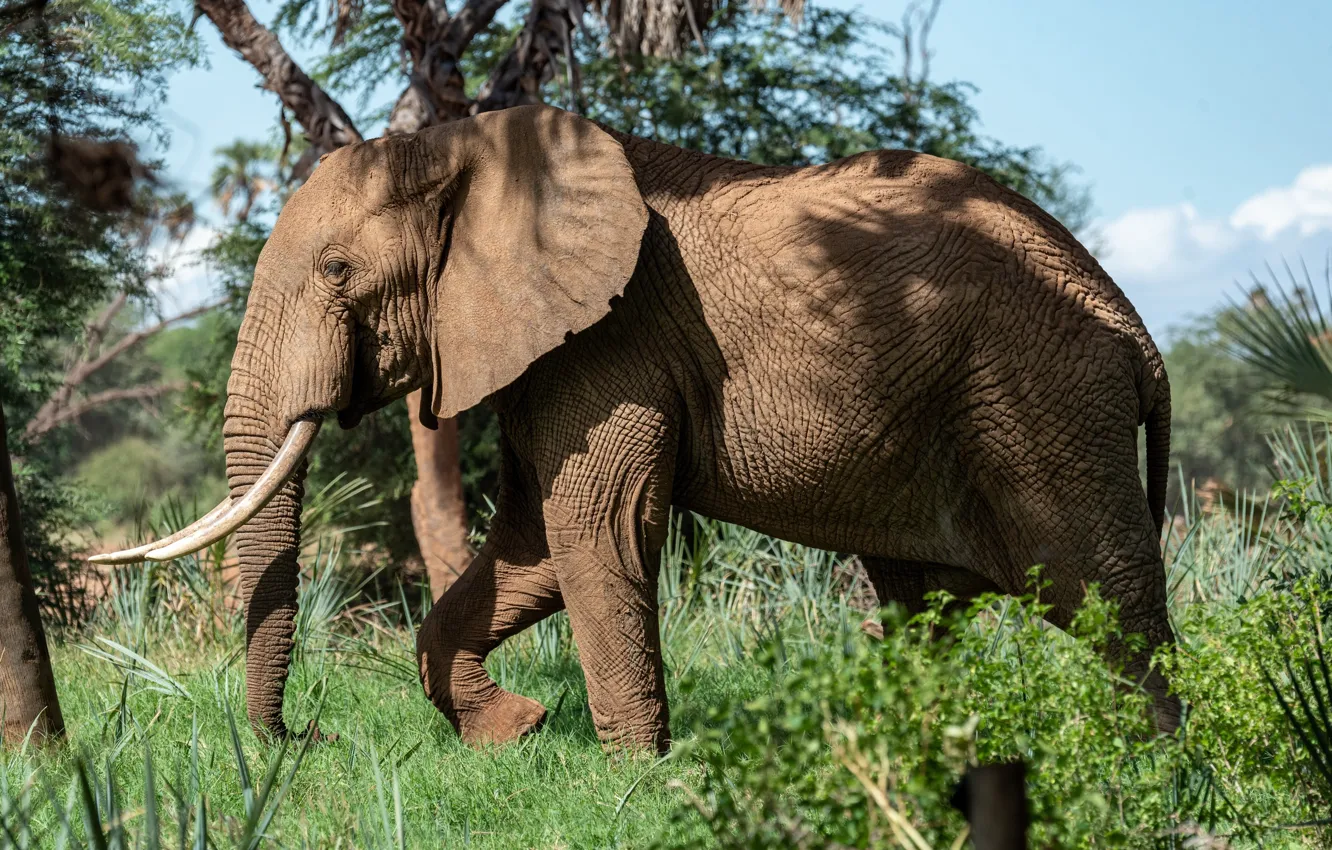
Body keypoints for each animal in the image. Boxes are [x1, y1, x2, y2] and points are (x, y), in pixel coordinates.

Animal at [95, 103, 1177, 752]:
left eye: (335, 272)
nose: (308, 739)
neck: (468, 145)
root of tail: (1136, 328)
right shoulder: (551, 350)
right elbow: (532, 545)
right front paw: (516, 731)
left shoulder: (612, 341)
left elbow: (595, 530)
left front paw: (636, 779)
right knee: (927, 605)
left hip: (1044, 399)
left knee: (1108, 600)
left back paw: (1159, 773)